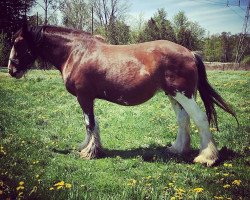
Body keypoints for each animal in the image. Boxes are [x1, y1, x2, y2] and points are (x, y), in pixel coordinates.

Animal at [7, 24, 237, 166]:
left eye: (18, 43)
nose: (11, 70)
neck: (77, 53)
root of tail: (190, 53)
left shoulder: (84, 97)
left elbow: (89, 123)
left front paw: (88, 152)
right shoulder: (88, 98)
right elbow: (93, 124)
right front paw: (91, 147)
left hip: (183, 94)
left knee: (199, 119)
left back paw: (207, 157)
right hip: (173, 95)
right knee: (183, 120)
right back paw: (177, 149)